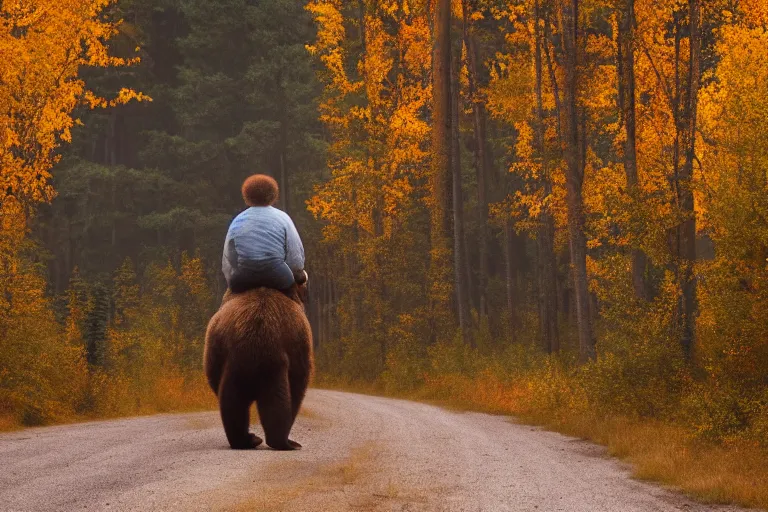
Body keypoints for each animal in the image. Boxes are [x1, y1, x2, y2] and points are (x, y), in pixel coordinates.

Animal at [206, 286, 314, 450]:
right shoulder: (300, 339)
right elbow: (298, 383)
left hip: (233, 365)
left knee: (233, 405)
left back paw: (247, 440)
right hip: (273, 367)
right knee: (277, 402)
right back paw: (285, 442)